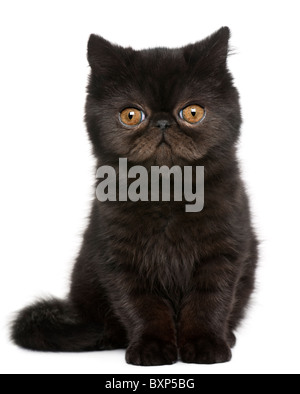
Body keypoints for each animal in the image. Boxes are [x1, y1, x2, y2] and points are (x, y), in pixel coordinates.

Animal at [11, 27, 258, 366]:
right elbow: (142, 306)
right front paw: (152, 347)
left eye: (193, 112)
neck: (168, 193)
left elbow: (210, 300)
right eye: (131, 115)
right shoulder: (120, 258)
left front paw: (205, 344)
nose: (163, 122)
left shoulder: (223, 250)